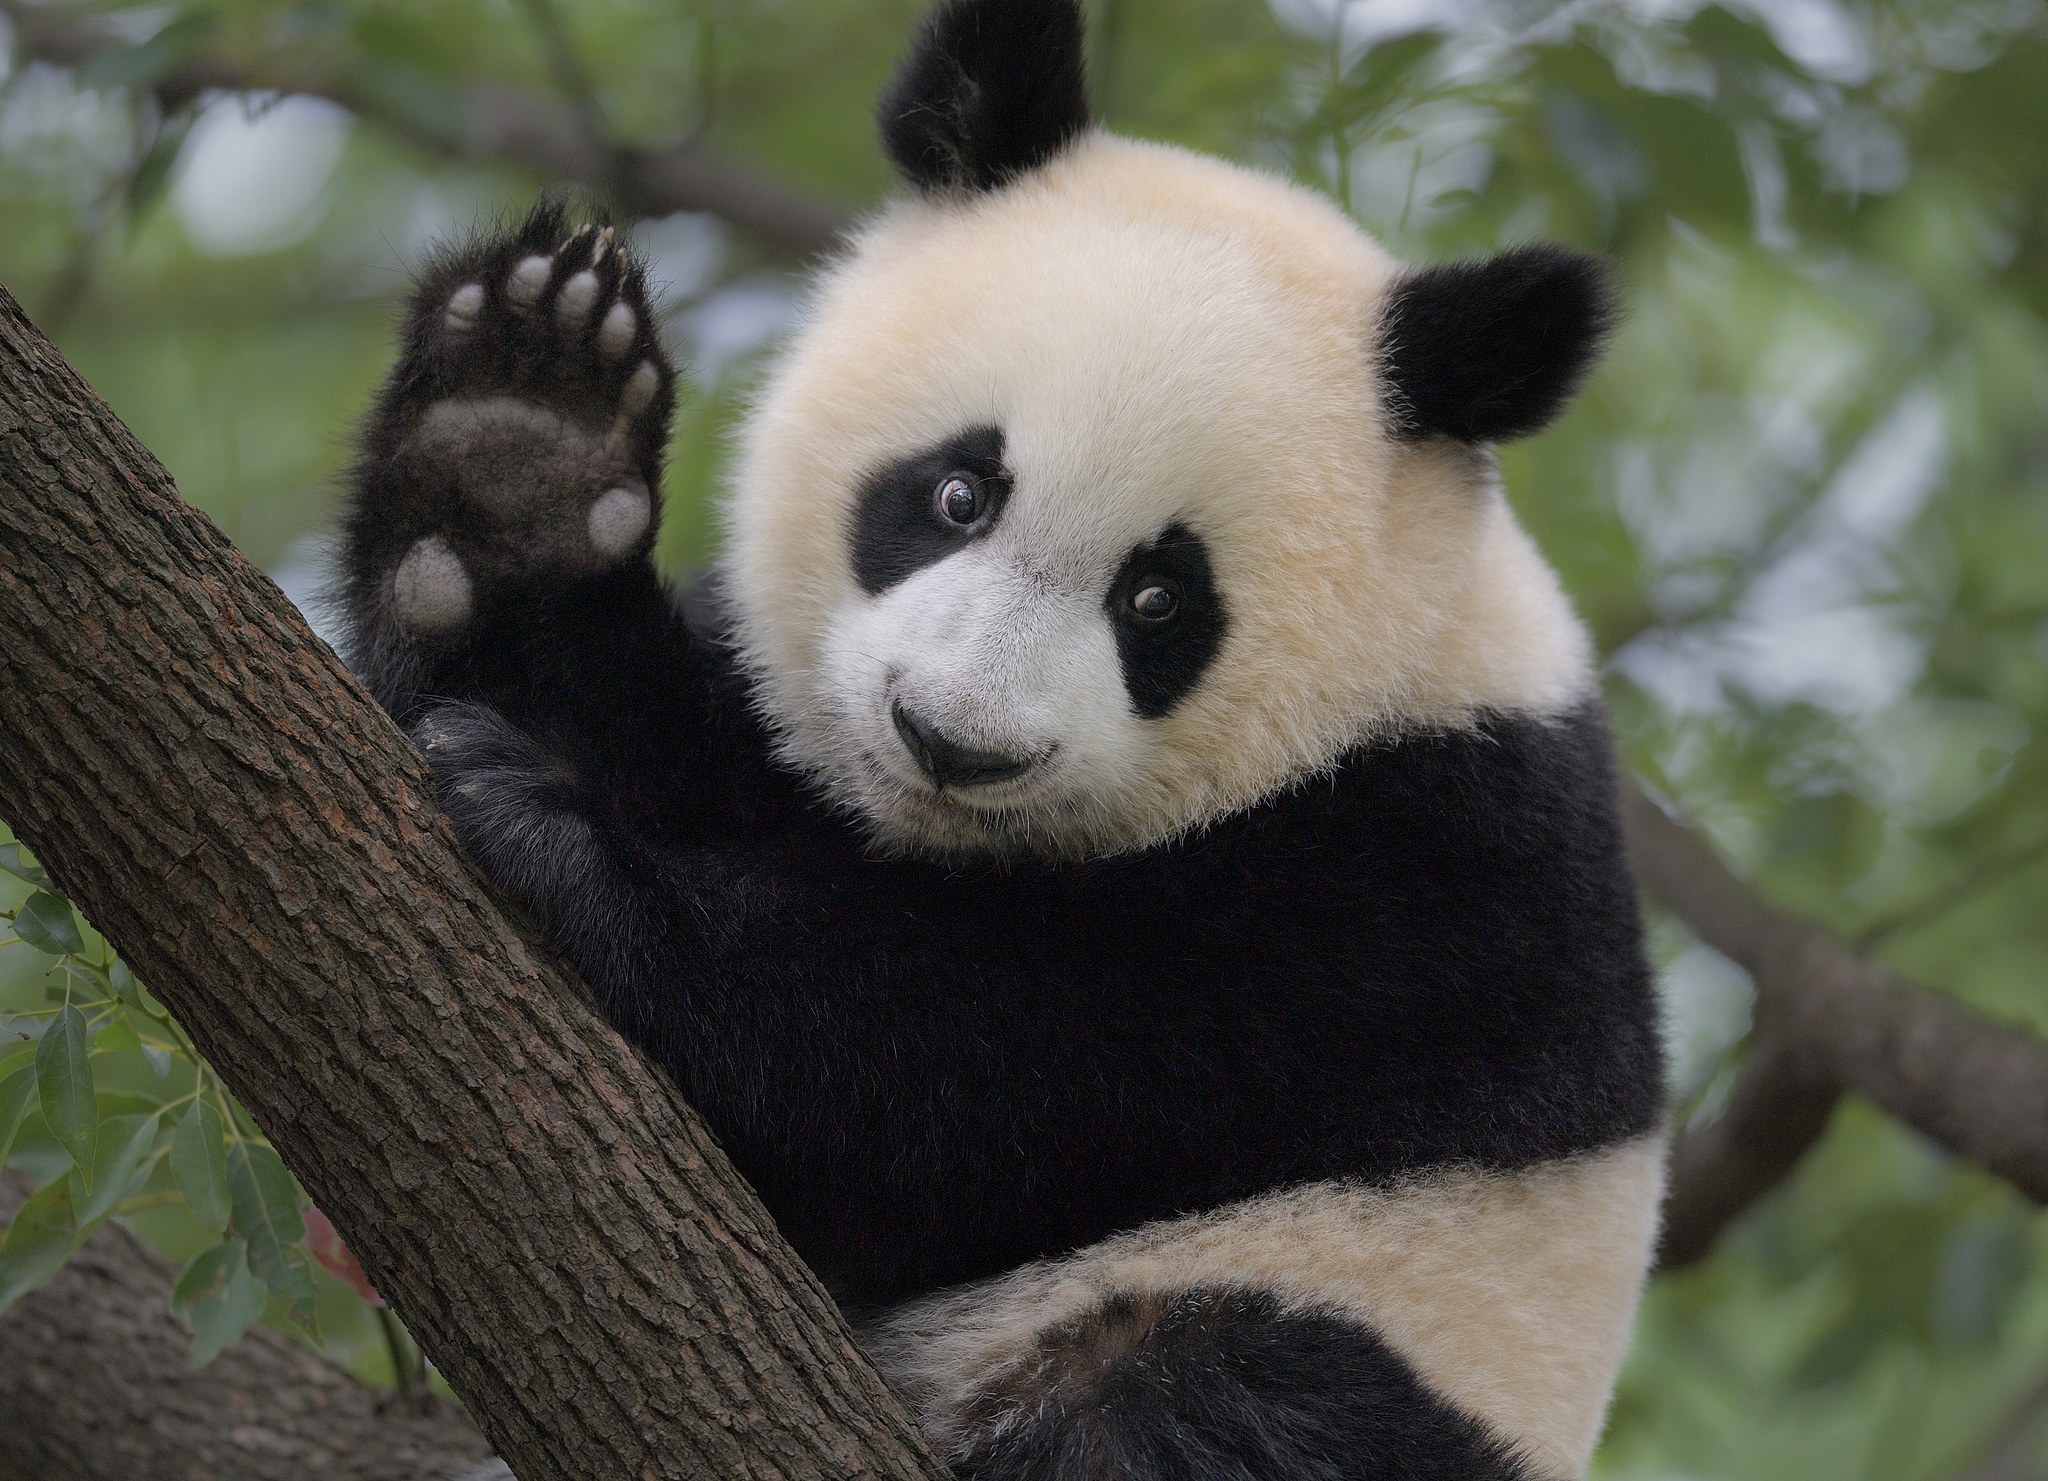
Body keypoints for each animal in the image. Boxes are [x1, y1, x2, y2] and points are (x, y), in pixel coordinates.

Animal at [336, 1, 1667, 1476]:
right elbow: (652, 727)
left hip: (1374, 1336)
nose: (951, 743)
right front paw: (518, 449)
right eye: (957, 493)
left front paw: (568, 853)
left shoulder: (1425, 874)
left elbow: (988, 1072)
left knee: (1208, 1398)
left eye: (1158, 599)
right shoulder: (790, 747)